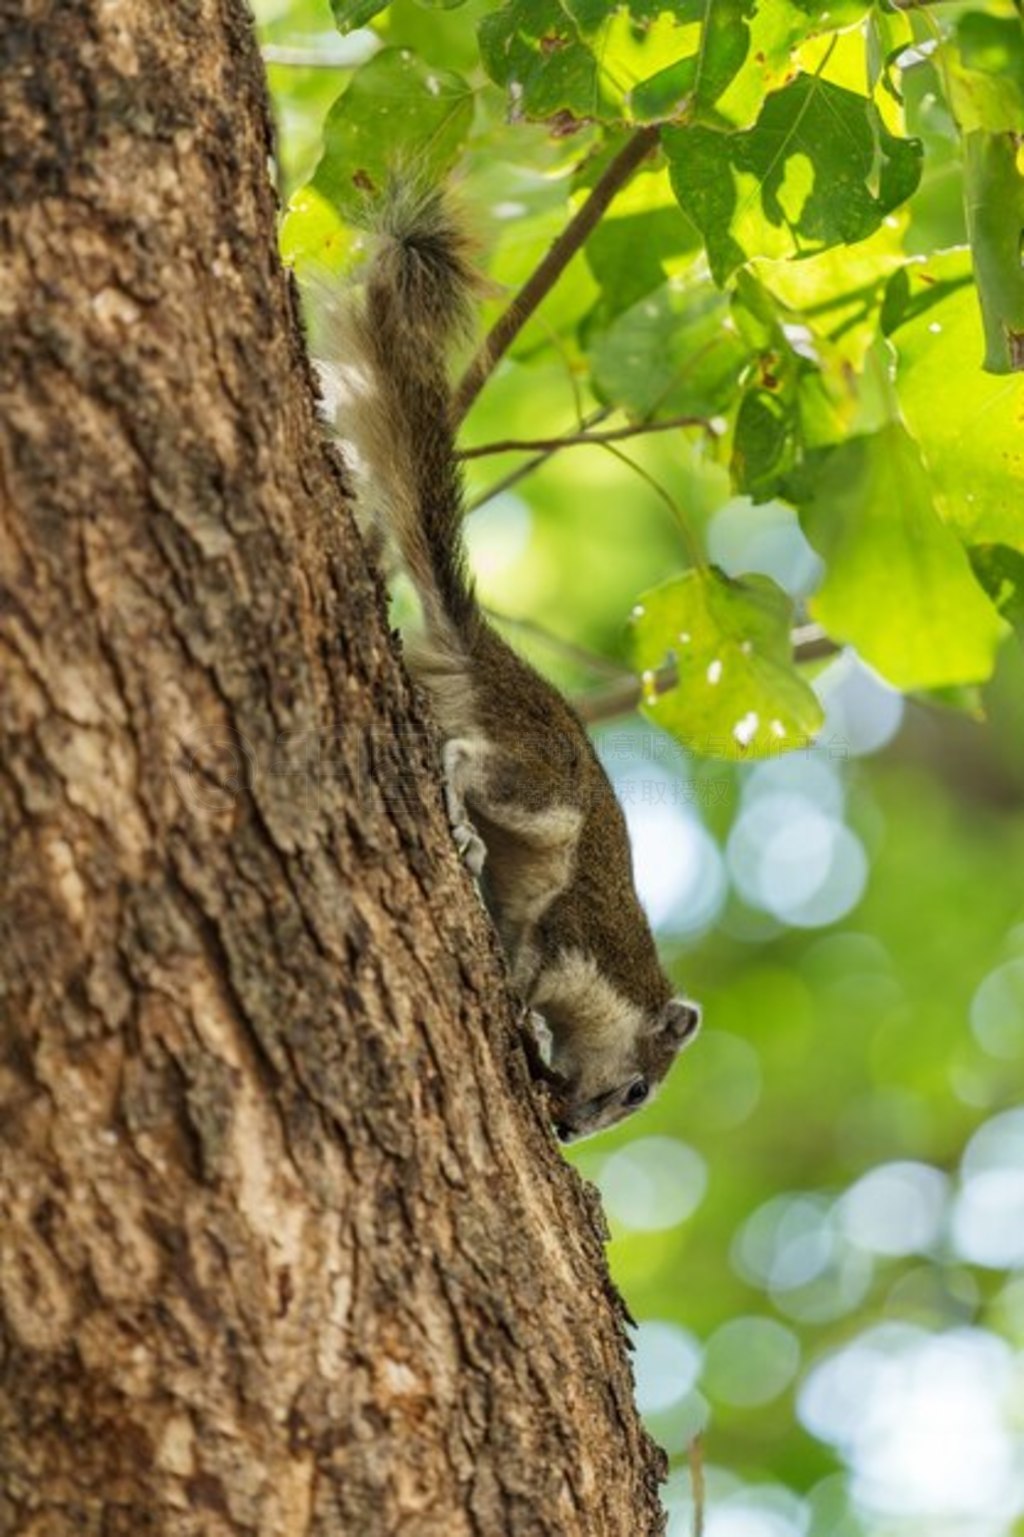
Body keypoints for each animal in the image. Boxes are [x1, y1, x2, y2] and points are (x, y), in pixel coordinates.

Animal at [322, 182, 698, 1143]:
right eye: (637, 1090)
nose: (573, 1128)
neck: (624, 991)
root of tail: (486, 659)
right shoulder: (576, 937)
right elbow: (532, 965)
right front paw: (524, 1010)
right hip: (543, 778)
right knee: (470, 760)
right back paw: (460, 817)